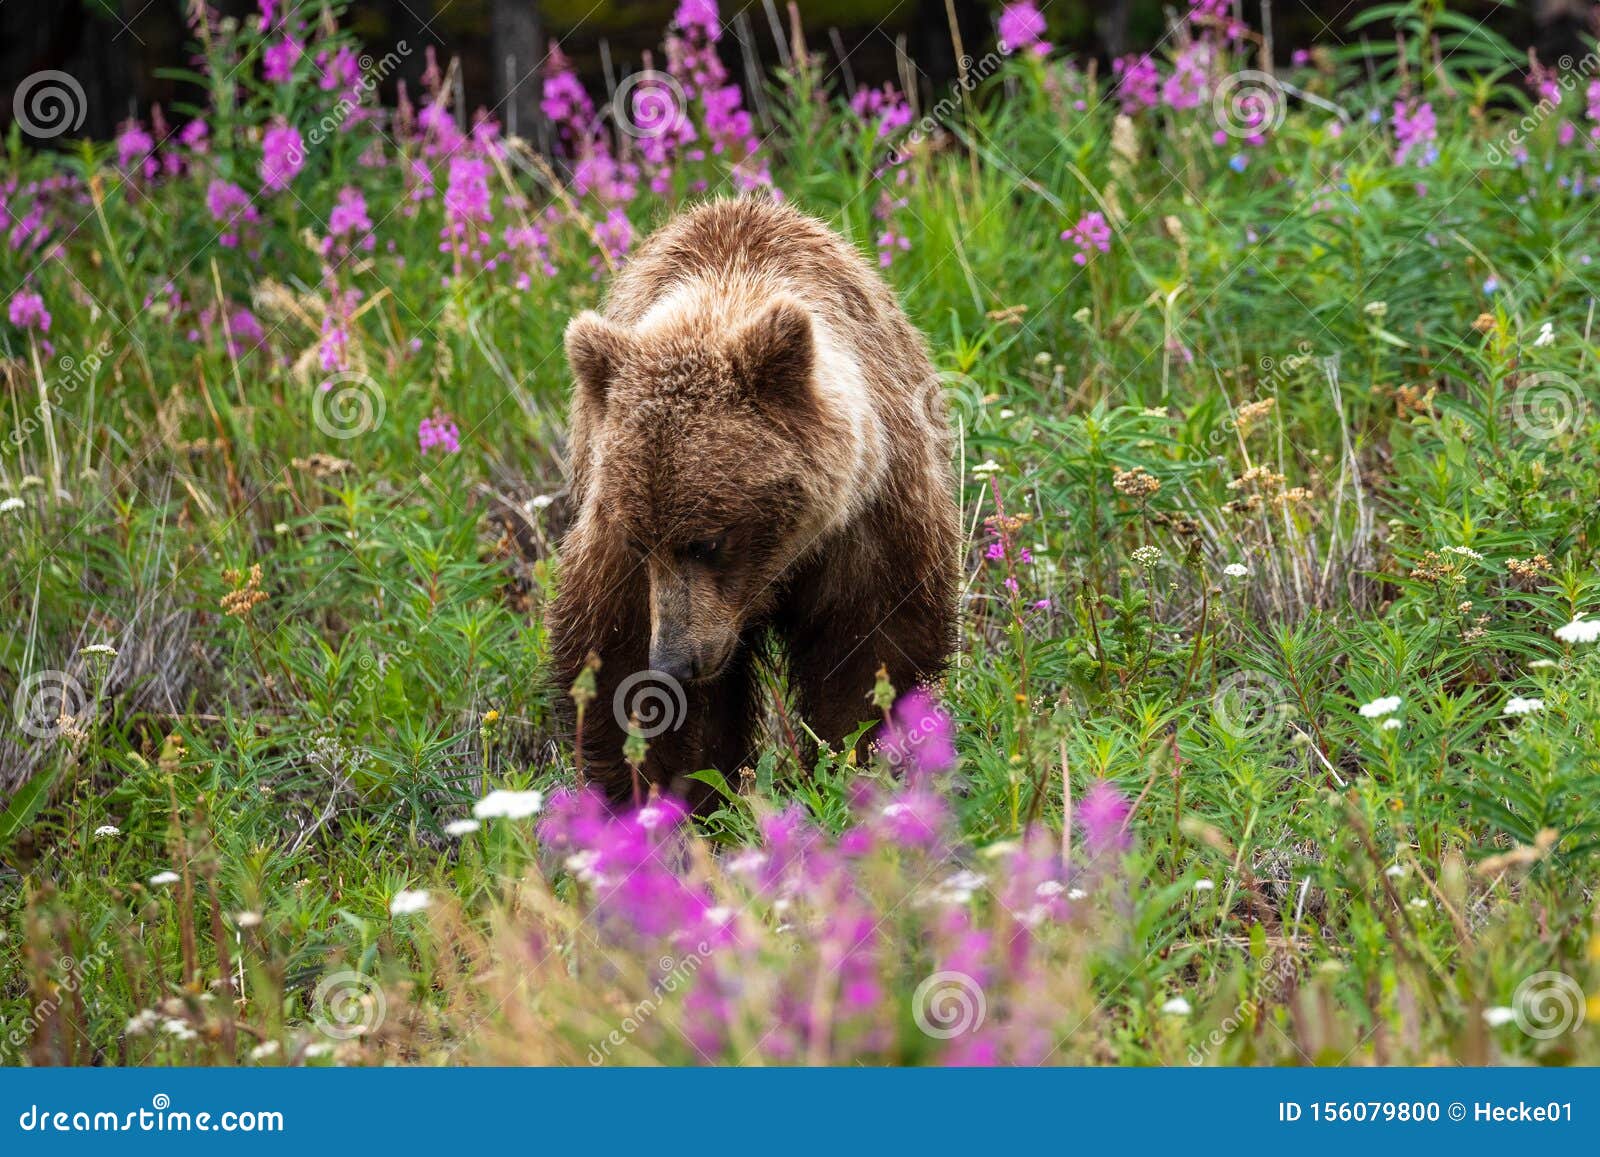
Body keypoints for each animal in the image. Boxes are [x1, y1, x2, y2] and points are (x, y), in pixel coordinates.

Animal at [544, 199, 953, 809]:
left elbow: (874, 652)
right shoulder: (620, 557)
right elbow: (620, 673)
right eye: (641, 541)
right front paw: (658, 801)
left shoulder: (869, 522)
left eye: (709, 540)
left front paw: (862, 764)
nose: (676, 660)